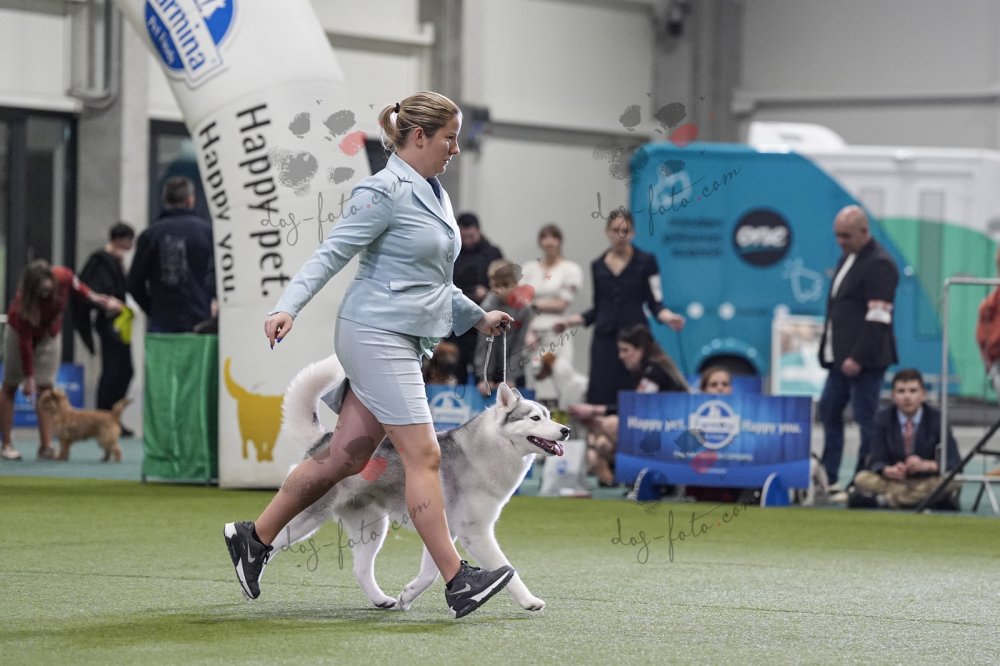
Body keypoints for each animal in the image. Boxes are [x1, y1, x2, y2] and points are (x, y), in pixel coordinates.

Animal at [269, 354, 570, 612]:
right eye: (535, 418)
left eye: (549, 415)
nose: (566, 430)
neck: (490, 447)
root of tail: (324, 440)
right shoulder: (476, 532)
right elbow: (508, 569)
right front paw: (529, 601)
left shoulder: (445, 528)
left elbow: (432, 572)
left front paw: (409, 595)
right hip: (307, 518)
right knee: (273, 541)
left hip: (374, 528)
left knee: (361, 570)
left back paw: (381, 600)